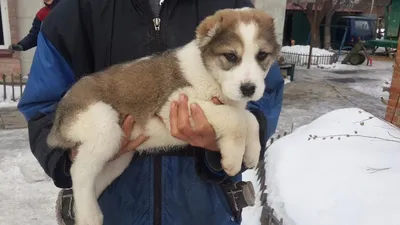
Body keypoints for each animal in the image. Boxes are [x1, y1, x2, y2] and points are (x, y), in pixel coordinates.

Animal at [47, 7, 280, 225]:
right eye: (231, 56)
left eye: (262, 55)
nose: (249, 89)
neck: (209, 73)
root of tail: (60, 113)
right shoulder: (175, 102)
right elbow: (235, 119)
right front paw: (232, 159)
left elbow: (249, 118)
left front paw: (251, 152)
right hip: (104, 125)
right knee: (79, 172)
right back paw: (89, 215)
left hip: (118, 155)